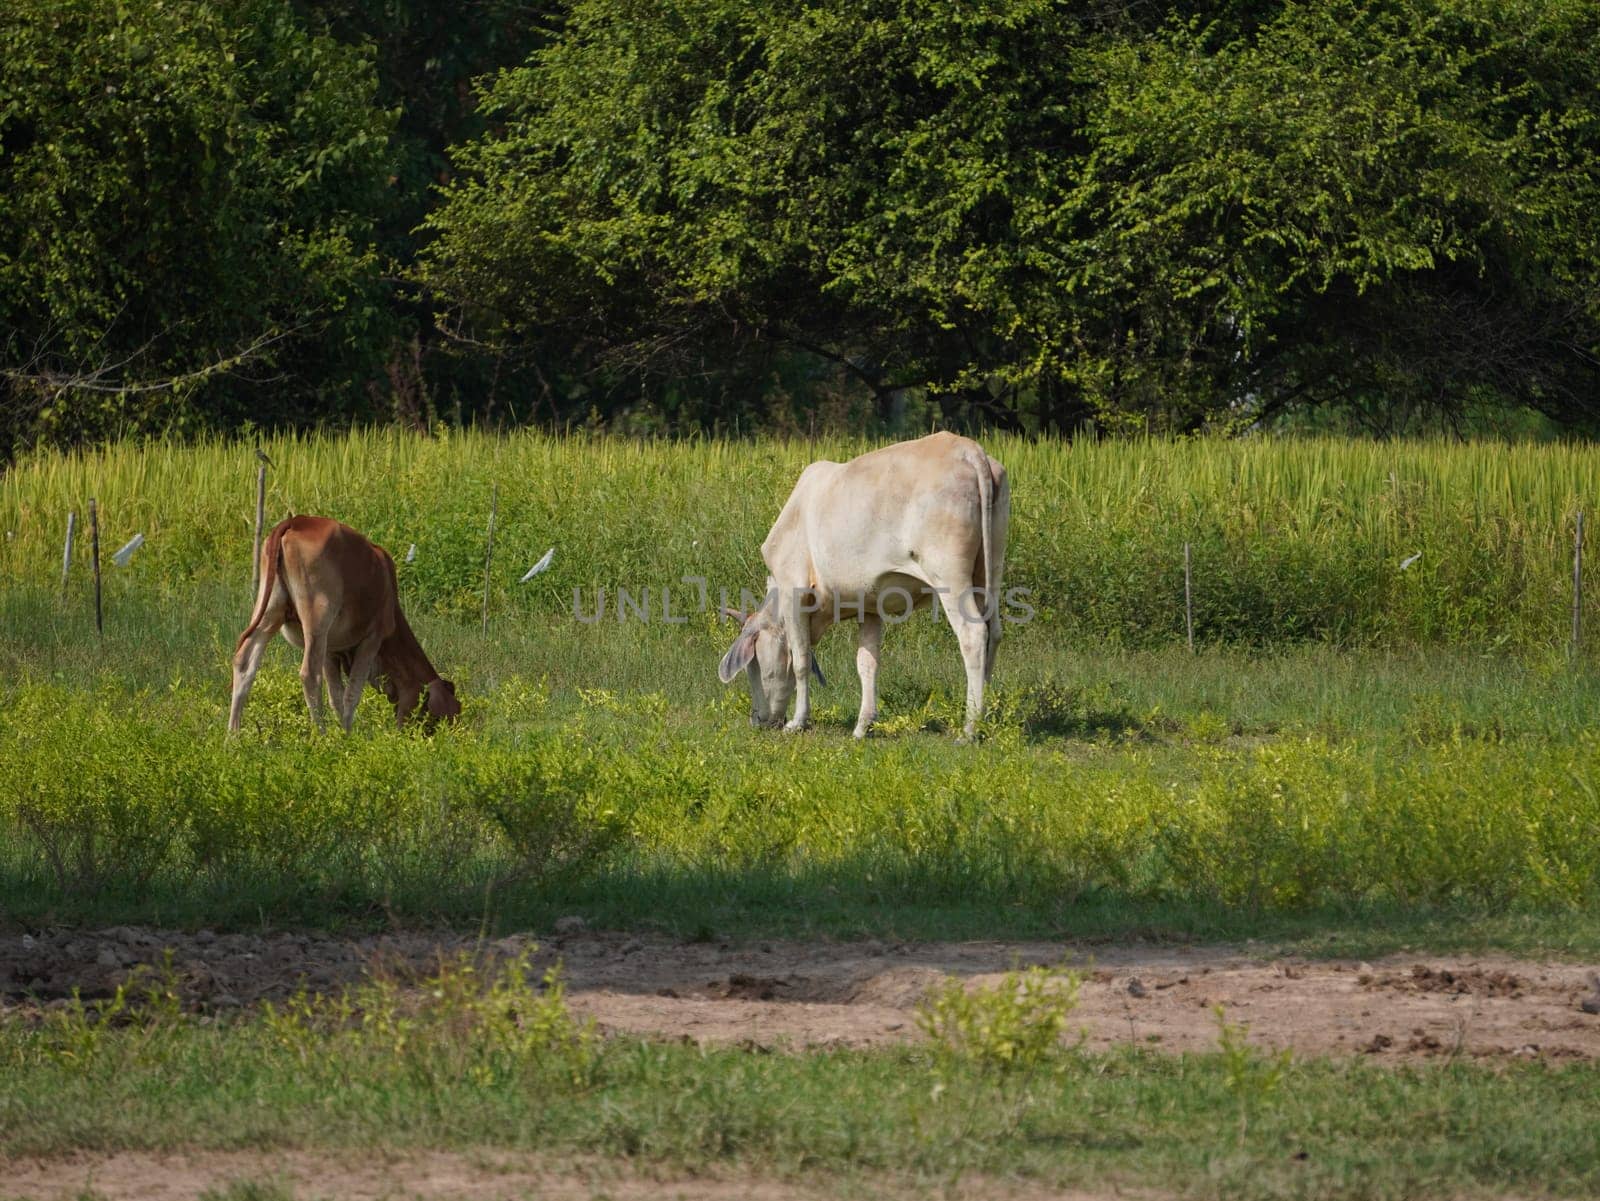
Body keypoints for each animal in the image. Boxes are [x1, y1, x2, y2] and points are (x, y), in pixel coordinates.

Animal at [228, 518, 460, 732]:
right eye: (442, 718)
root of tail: (296, 521)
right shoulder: (372, 638)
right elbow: (351, 694)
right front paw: (347, 736)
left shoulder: (331, 650)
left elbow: (336, 697)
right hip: (317, 619)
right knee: (310, 675)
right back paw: (320, 734)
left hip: (270, 610)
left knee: (245, 661)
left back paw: (233, 735)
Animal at [723, 428, 1011, 738]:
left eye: (752, 665)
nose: (757, 720)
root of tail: (968, 450)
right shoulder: (869, 606)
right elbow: (867, 663)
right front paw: (863, 725)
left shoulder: (794, 590)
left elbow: (800, 660)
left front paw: (798, 721)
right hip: (990, 570)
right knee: (993, 632)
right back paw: (988, 716)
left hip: (949, 574)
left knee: (973, 635)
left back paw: (970, 726)